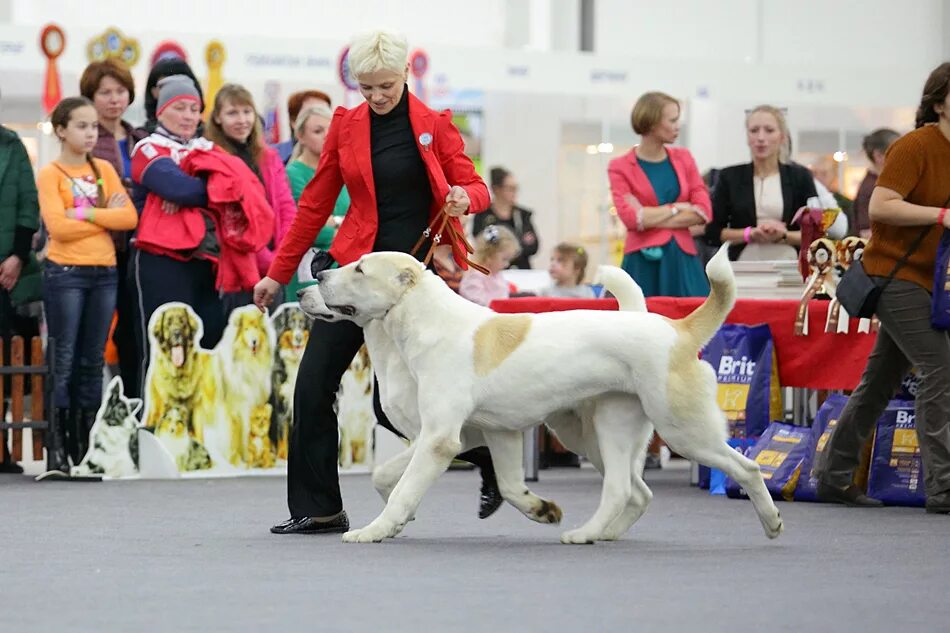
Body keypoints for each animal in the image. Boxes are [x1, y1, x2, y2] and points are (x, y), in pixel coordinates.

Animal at [302, 247, 784, 544]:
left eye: (361, 269)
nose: (318, 274)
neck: (423, 322)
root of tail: (677, 329)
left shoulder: (440, 439)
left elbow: (403, 488)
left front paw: (374, 529)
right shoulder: (490, 435)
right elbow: (400, 477)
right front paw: (539, 509)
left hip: (682, 429)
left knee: (745, 467)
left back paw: (772, 521)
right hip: (600, 432)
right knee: (630, 490)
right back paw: (596, 533)